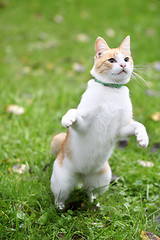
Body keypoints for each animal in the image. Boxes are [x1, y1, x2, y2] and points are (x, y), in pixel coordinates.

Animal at [50, 34, 149, 209]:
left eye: (126, 58)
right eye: (112, 60)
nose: (123, 64)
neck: (112, 91)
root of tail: (81, 175)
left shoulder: (121, 128)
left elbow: (139, 125)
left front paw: (143, 138)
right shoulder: (84, 124)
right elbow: (75, 113)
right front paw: (68, 118)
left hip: (102, 179)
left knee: (89, 192)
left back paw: (93, 203)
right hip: (61, 183)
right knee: (60, 197)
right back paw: (60, 207)